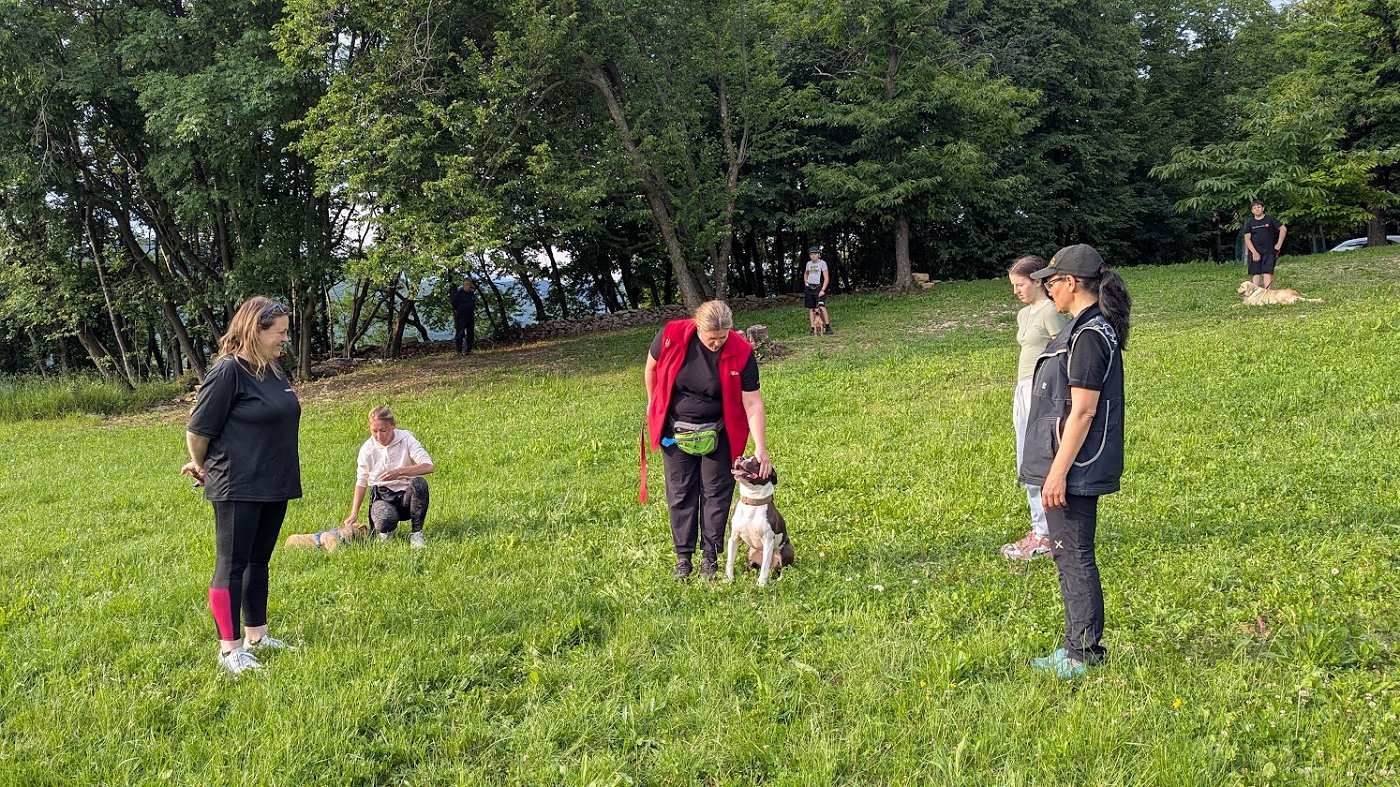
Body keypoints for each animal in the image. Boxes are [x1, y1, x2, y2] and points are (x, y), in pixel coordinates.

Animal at [725, 455, 794, 586]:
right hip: (750, 551)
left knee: (781, 568)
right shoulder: (734, 537)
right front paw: (728, 579)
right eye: (746, 456)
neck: (752, 501)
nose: (740, 457)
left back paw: (779, 578)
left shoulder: (768, 541)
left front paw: (761, 584)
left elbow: (765, 567)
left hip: (786, 550)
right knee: (755, 567)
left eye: (757, 462)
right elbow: (730, 561)